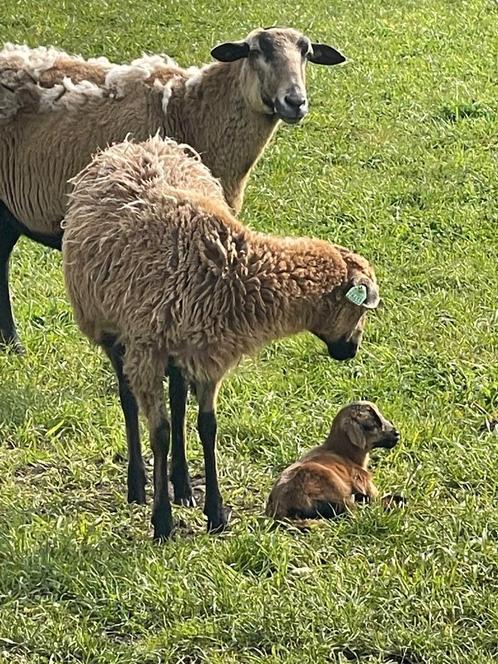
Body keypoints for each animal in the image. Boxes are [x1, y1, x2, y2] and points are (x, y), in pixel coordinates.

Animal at [62, 137, 382, 544]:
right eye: (361, 308)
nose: (351, 350)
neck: (232, 270)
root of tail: (136, 144)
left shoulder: (209, 353)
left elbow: (206, 426)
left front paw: (215, 513)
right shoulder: (148, 349)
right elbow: (159, 431)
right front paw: (161, 521)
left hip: (179, 346)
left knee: (177, 401)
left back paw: (183, 484)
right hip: (107, 326)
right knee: (128, 399)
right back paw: (137, 485)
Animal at [266, 400, 402, 524]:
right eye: (372, 425)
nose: (397, 434)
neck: (345, 454)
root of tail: (280, 508)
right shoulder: (365, 484)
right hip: (336, 488)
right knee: (352, 514)